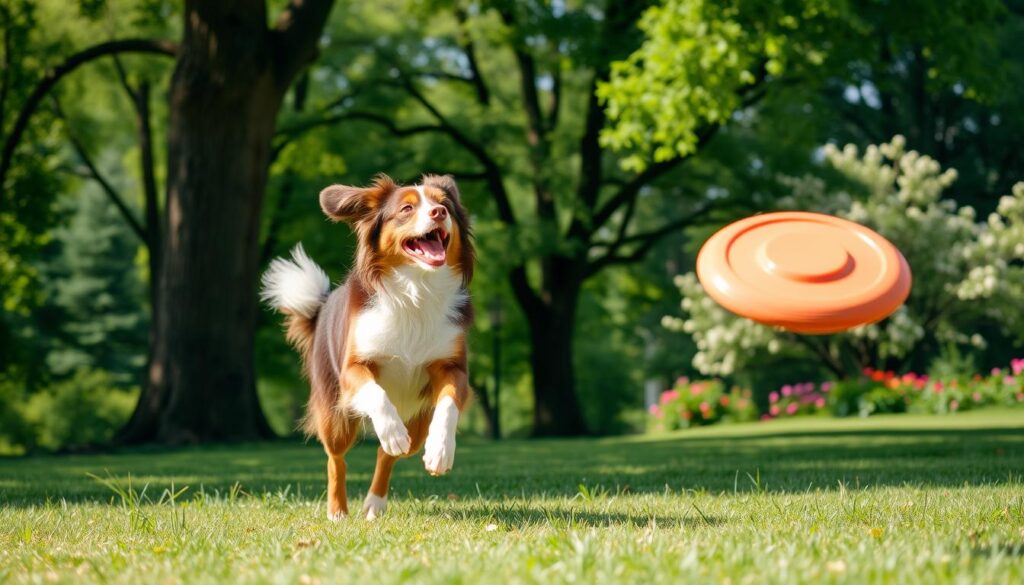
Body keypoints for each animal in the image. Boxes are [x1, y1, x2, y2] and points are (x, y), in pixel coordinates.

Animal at [262, 174, 473, 522]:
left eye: (444, 203)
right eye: (407, 209)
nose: (439, 212)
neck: (416, 291)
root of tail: (322, 307)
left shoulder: (452, 367)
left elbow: (448, 404)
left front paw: (441, 451)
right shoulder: (353, 368)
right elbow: (376, 393)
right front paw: (390, 429)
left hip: (417, 422)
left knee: (389, 452)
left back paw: (375, 502)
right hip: (335, 416)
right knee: (336, 459)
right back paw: (337, 510)